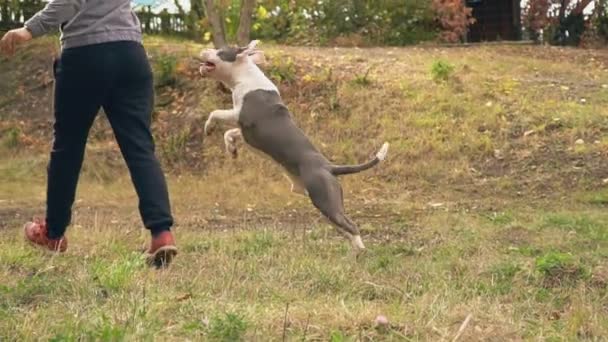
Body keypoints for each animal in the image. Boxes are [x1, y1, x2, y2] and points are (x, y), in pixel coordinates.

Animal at [200, 40, 390, 251]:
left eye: (220, 51)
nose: (203, 49)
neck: (244, 75)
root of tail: (330, 167)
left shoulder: (239, 115)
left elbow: (215, 113)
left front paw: (209, 127)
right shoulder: (246, 132)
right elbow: (229, 133)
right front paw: (231, 149)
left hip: (325, 199)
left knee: (351, 226)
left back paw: (360, 251)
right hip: (326, 205)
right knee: (345, 229)